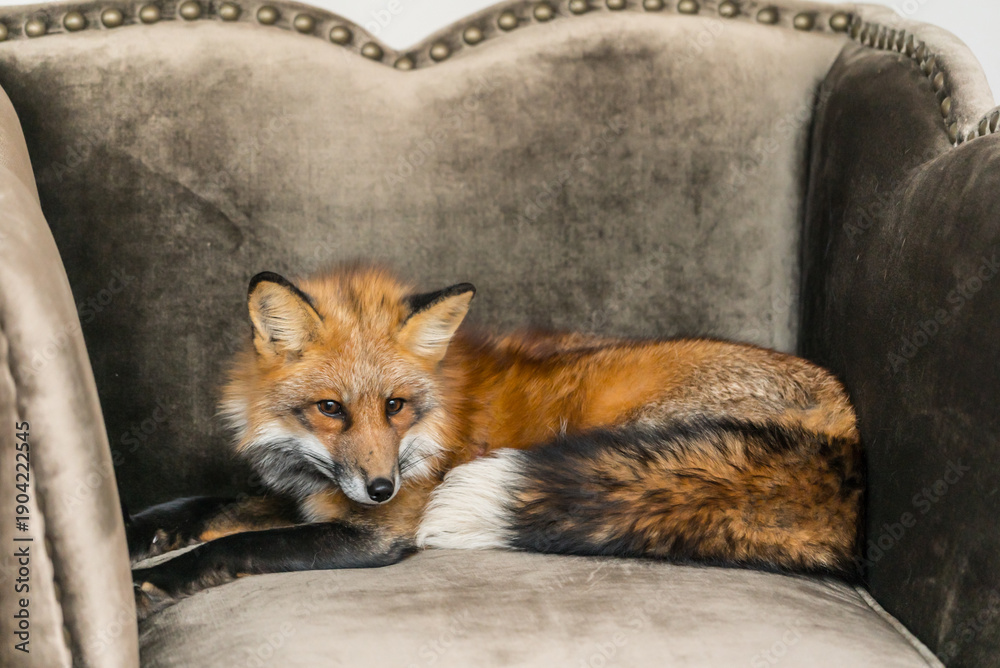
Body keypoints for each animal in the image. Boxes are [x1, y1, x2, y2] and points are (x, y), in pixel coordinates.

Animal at [127, 264, 863, 618]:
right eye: (330, 409)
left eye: (395, 406)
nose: (382, 487)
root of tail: (851, 431)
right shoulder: (313, 496)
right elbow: (201, 507)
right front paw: (136, 536)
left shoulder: (374, 532)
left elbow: (242, 545)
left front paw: (156, 581)